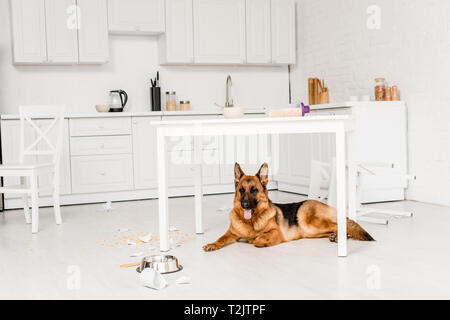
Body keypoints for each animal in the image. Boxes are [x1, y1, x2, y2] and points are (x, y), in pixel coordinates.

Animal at [204, 164, 372, 251]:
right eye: (241, 190)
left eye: (254, 190)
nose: (245, 204)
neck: (251, 221)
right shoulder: (231, 234)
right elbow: (220, 238)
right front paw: (212, 244)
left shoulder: (276, 232)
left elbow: (259, 239)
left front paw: (258, 240)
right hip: (310, 232)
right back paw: (335, 237)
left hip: (309, 222)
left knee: (340, 225)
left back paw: (339, 236)